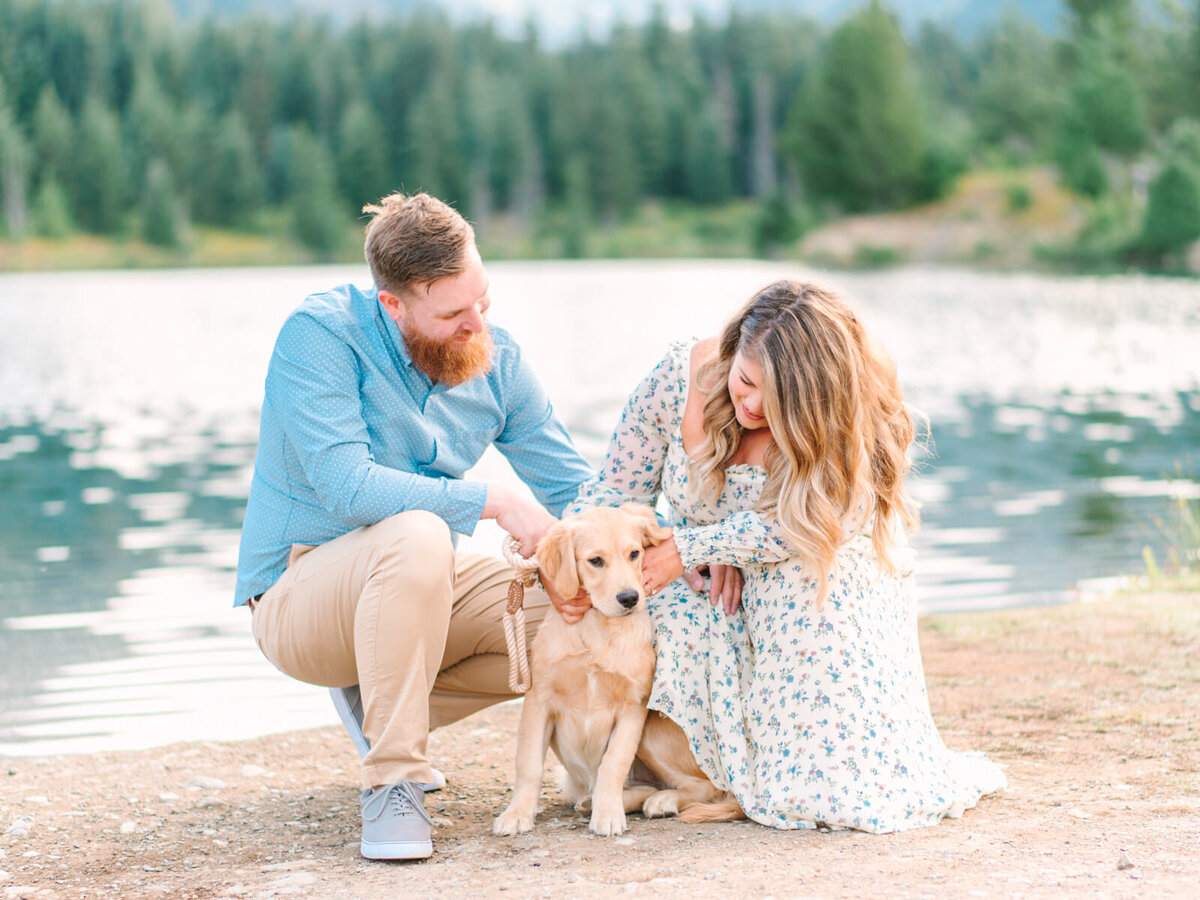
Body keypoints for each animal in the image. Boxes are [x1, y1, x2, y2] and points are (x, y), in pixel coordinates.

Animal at [494, 504, 739, 844]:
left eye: (634, 553)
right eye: (596, 560)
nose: (629, 598)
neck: (598, 628)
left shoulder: (633, 706)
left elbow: (614, 762)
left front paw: (608, 814)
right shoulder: (538, 699)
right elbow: (528, 764)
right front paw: (517, 814)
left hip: (652, 731)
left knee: (708, 787)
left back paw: (658, 800)